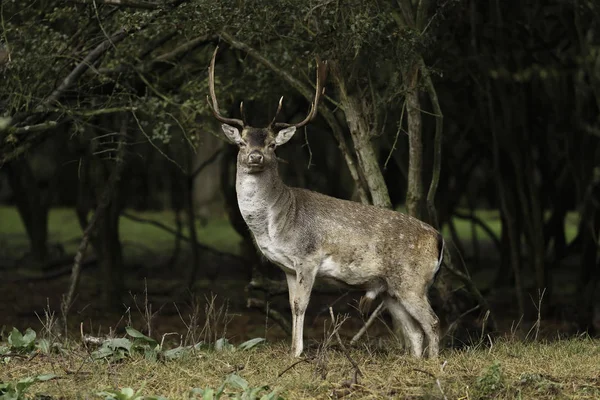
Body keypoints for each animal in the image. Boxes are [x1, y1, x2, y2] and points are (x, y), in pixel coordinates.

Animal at [209, 47, 442, 360]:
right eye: (242, 143)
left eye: (272, 144)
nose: (255, 156)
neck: (276, 223)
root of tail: (439, 238)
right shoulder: (286, 267)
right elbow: (292, 305)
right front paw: (292, 351)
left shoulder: (308, 257)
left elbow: (302, 305)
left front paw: (297, 353)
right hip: (390, 288)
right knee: (415, 331)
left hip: (413, 280)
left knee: (433, 322)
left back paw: (435, 363)